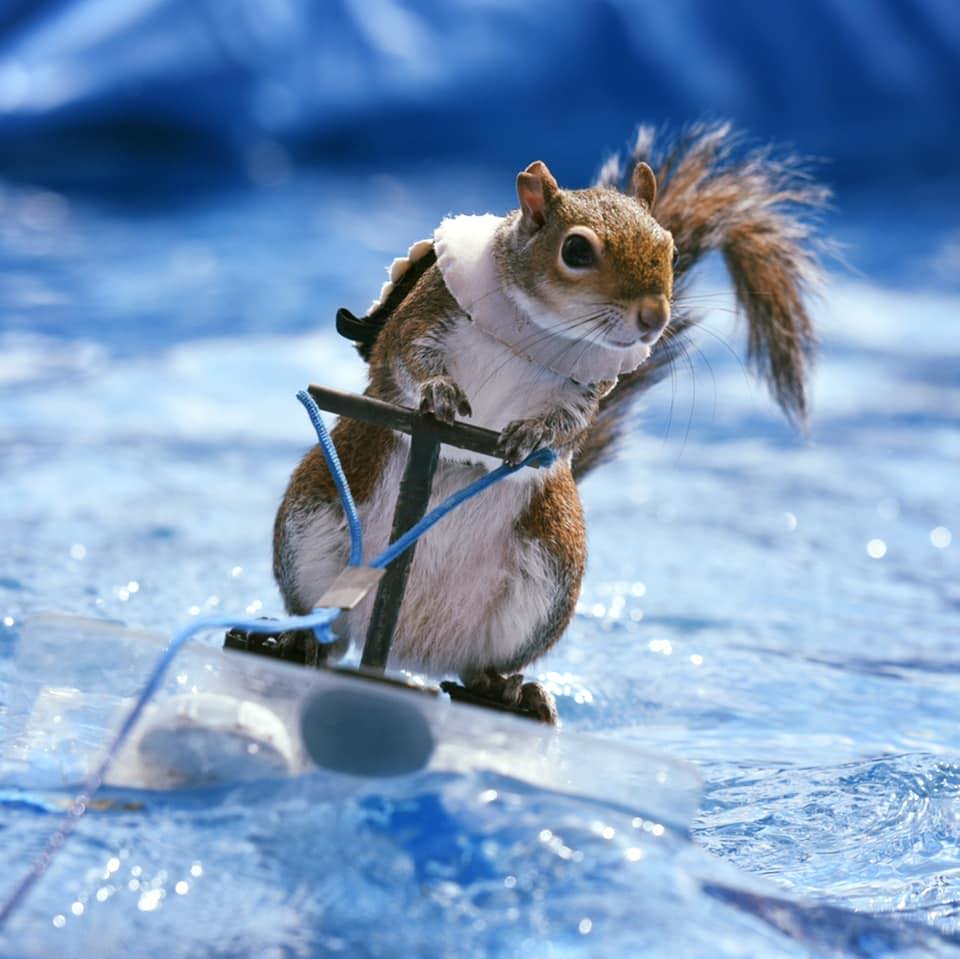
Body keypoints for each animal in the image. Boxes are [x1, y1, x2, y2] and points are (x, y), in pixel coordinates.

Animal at [273, 124, 826, 722]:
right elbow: (407, 360)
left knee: (477, 667)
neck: (541, 330)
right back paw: (301, 641)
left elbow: (569, 424)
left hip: (551, 567)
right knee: (327, 629)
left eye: (671, 249)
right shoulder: (424, 317)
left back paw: (509, 691)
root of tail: (403, 652)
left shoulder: (588, 388)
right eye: (576, 250)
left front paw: (533, 433)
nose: (654, 318)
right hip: (314, 519)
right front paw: (439, 392)